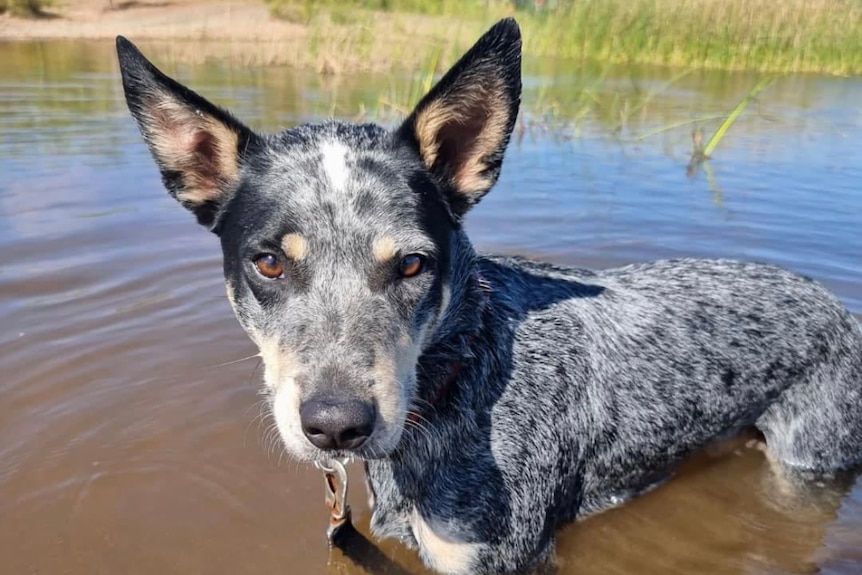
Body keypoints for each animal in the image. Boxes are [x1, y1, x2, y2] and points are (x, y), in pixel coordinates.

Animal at [116, 18, 862, 575]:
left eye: (413, 264)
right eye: (268, 262)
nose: (335, 424)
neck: (460, 377)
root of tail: (840, 309)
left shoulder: (499, 558)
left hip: (810, 463)